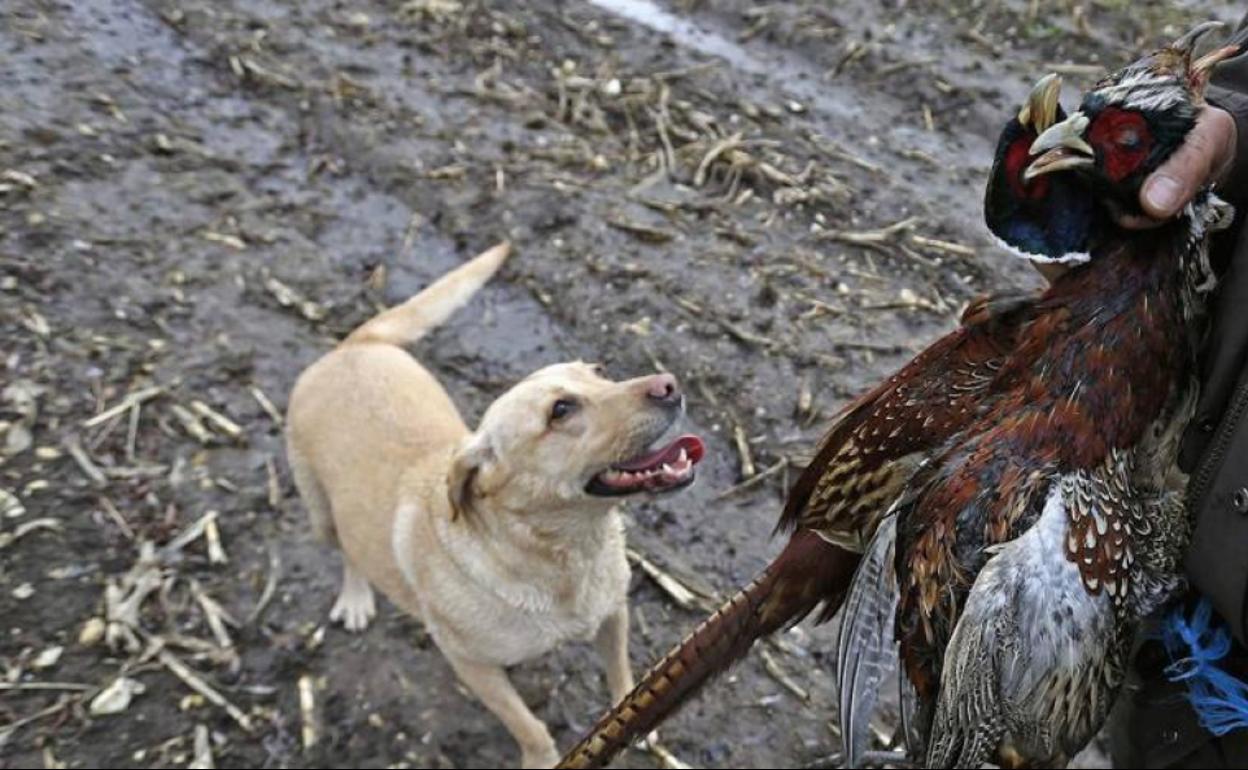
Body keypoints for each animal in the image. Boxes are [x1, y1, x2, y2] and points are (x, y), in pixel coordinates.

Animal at [285, 243, 703, 763]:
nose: (669, 384)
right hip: (320, 511)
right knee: (345, 552)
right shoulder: (472, 665)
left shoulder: (613, 614)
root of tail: (353, 346)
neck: (565, 555)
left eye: (600, 373)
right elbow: (529, 726)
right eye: (560, 411)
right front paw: (544, 759)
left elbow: (622, 676)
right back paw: (356, 597)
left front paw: (637, 717)